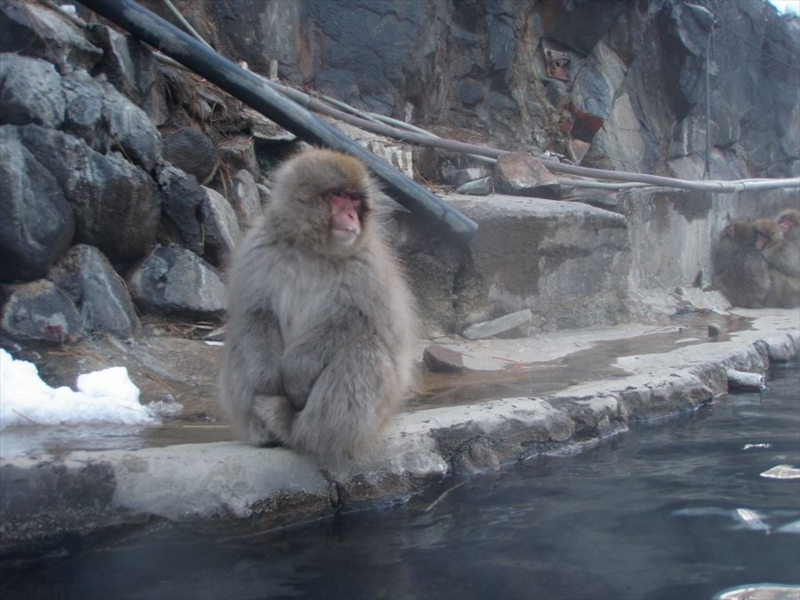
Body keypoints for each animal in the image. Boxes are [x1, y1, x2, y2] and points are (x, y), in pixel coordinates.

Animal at [216, 149, 422, 464]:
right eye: (338, 195)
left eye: (355, 199)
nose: (351, 215)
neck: (311, 249)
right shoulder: (258, 248)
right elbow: (255, 313)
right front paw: (267, 379)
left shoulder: (367, 266)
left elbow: (358, 321)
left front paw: (296, 374)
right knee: (241, 342)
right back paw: (264, 432)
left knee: (367, 351)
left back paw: (292, 428)